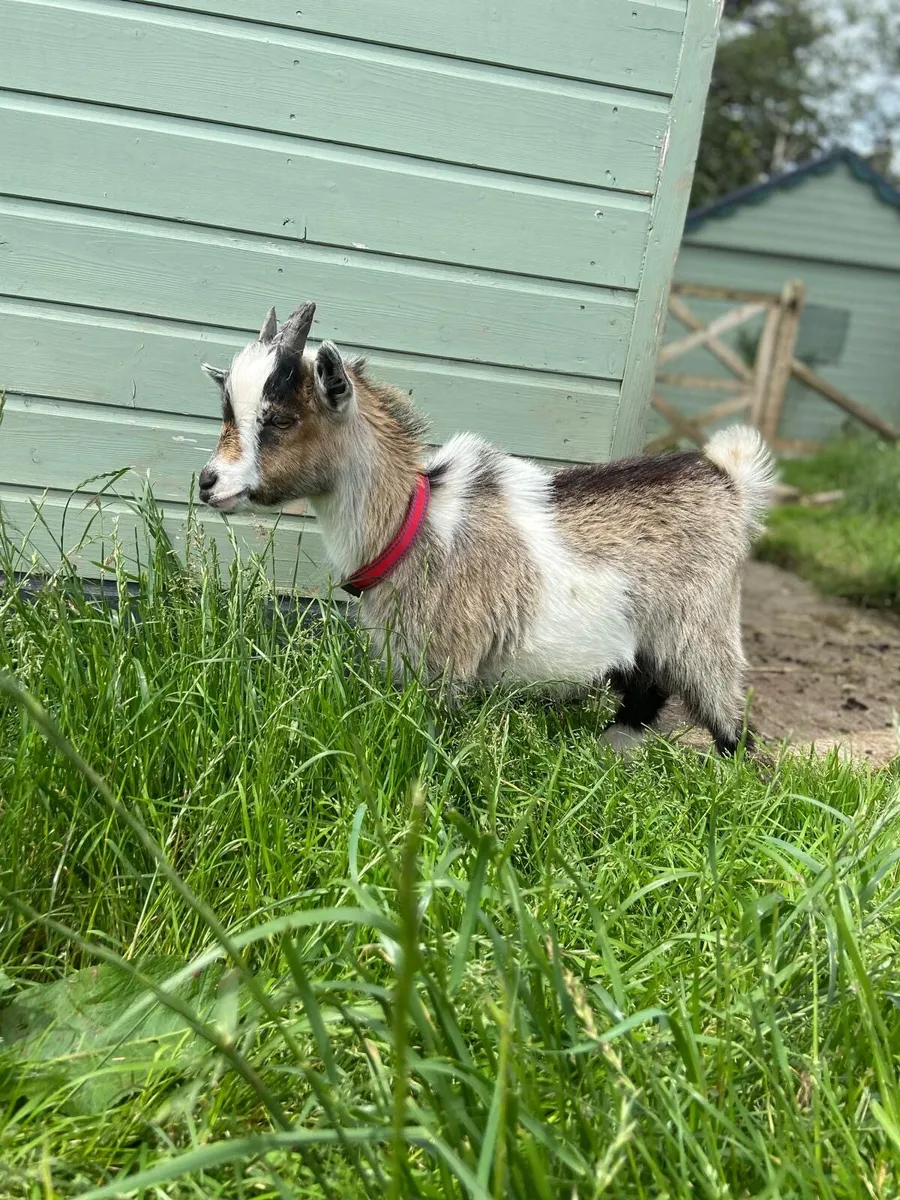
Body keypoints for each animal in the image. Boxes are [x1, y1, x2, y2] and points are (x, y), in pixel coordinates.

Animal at [198, 302, 775, 754]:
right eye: (226, 410)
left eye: (280, 419)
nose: (207, 482)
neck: (411, 522)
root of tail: (729, 481)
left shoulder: (450, 661)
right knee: (647, 688)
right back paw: (612, 749)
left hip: (702, 631)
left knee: (732, 724)